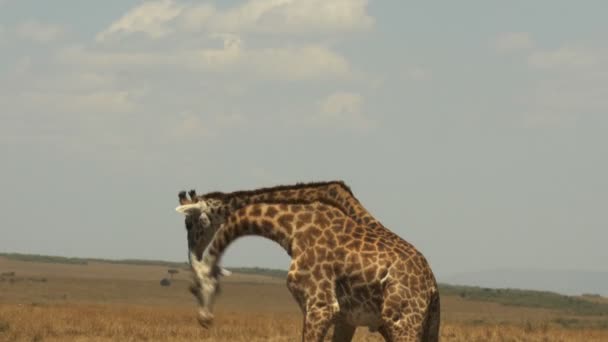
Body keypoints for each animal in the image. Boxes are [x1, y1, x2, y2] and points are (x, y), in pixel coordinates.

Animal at [173, 182, 440, 340]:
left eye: (188, 223)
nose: (204, 319)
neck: (291, 228)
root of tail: (432, 286)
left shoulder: (320, 306)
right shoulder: (342, 318)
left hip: (401, 322)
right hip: (426, 325)